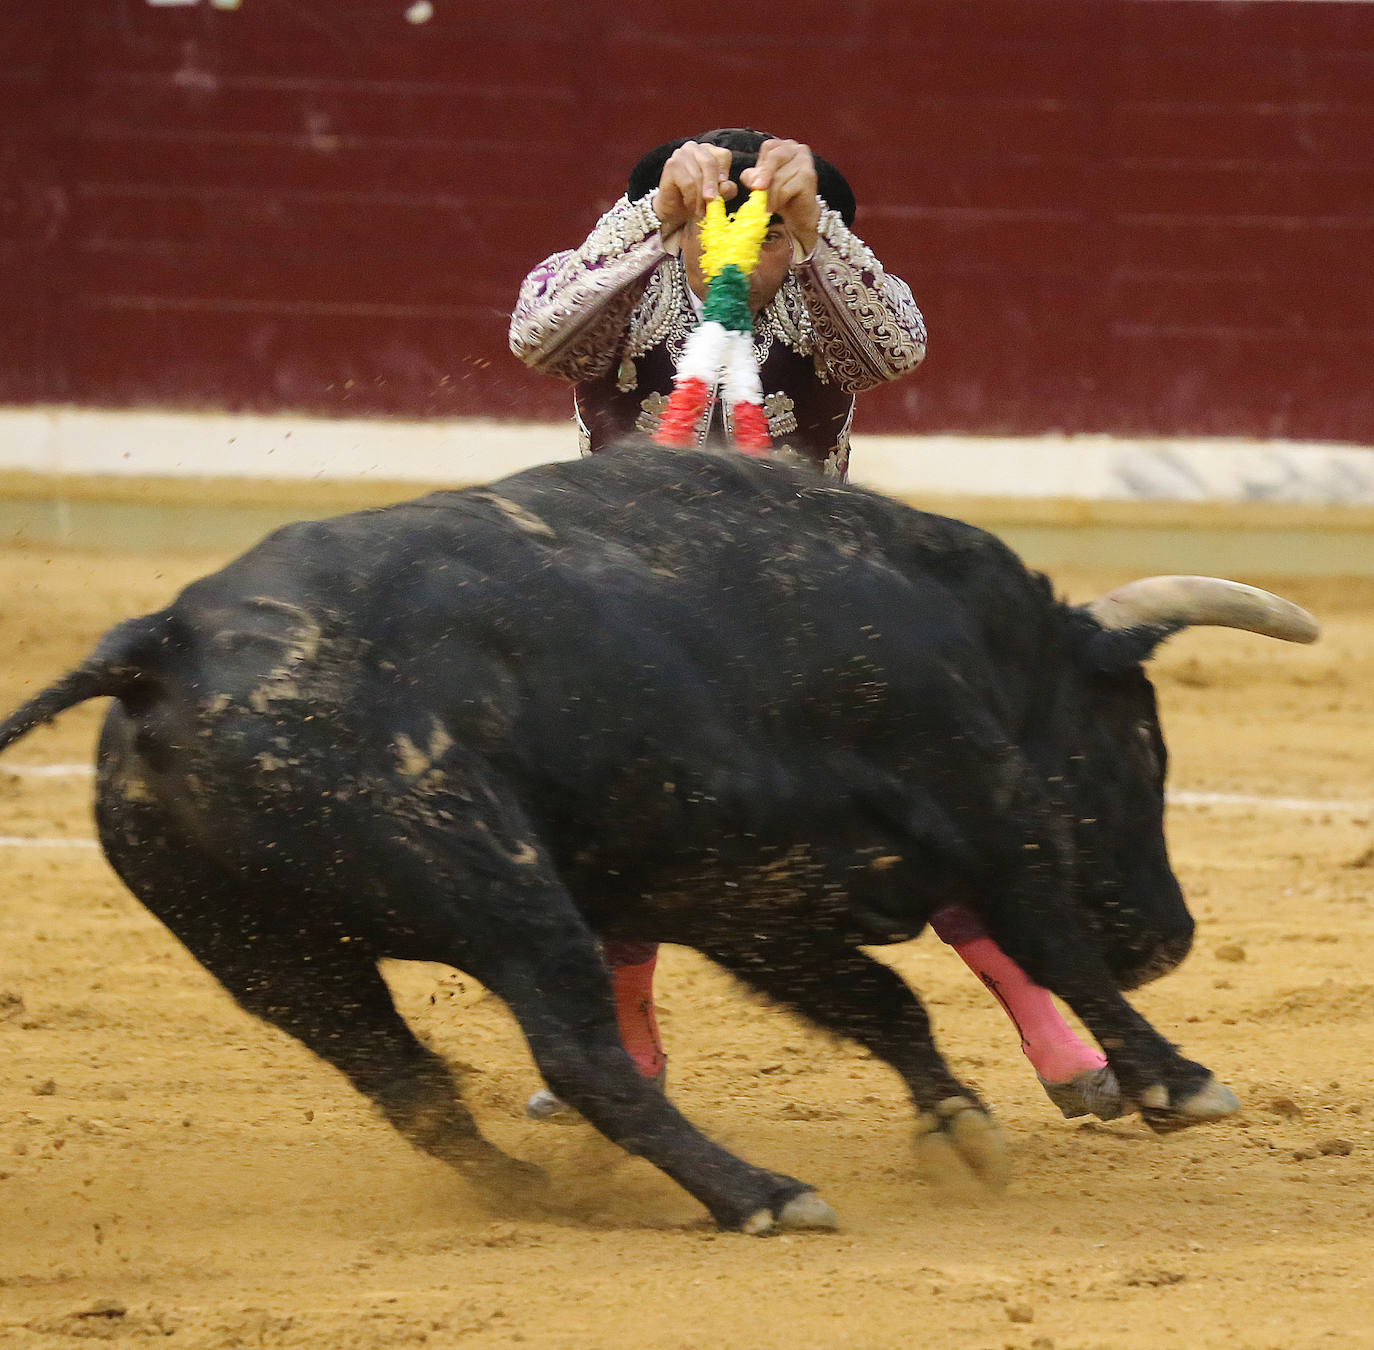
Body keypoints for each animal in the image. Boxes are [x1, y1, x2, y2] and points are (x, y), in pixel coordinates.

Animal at [0, 450, 1313, 1236]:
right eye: (1141, 743)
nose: (1172, 939)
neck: (971, 631)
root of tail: (159, 643)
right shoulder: (980, 799)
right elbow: (1049, 946)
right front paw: (1178, 1081)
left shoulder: (742, 896)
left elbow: (881, 1003)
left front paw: (958, 1127)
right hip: (498, 889)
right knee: (581, 1057)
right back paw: (761, 1197)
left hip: (267, 957)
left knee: (408, 1084)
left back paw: (538, 1195)